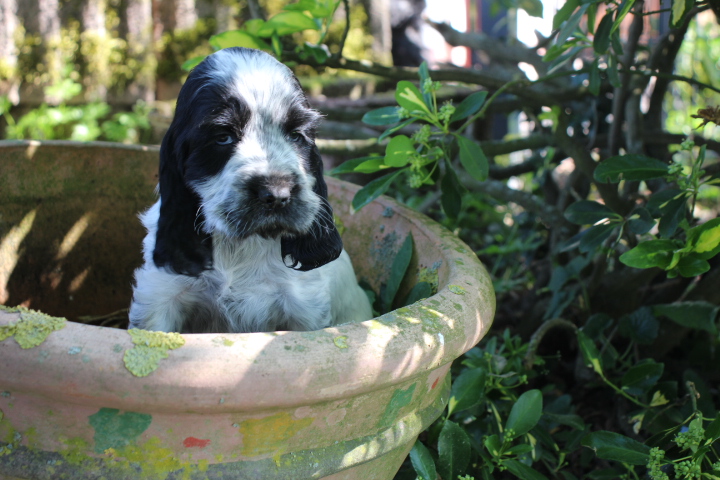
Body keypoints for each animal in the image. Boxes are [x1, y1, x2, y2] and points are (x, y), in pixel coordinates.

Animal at [128, 47, 372, 333]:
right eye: (223, 137)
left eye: (296, 136)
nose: (277, 195)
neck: (242, 245)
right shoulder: (160, 297)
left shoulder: (304, 309)